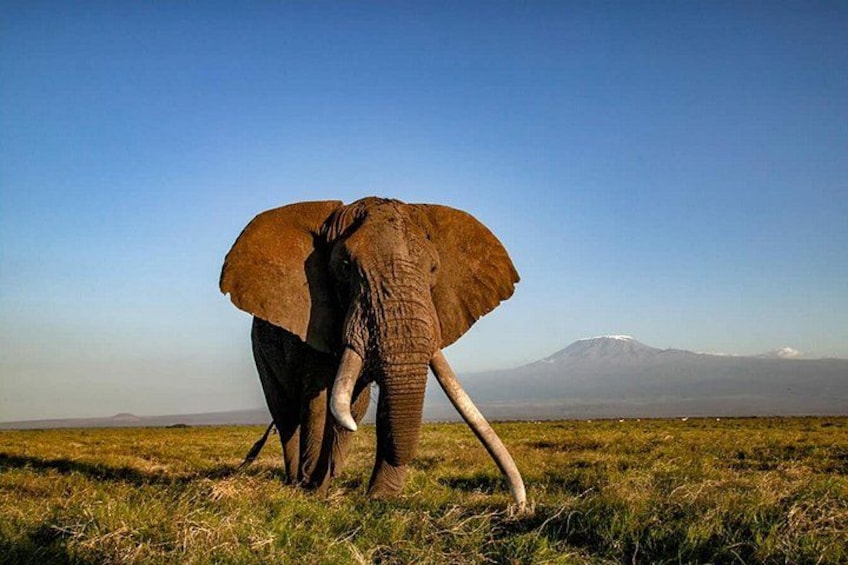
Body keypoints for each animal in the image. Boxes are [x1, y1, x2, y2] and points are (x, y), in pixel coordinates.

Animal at [220, 197, 525, 509]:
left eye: (433, 269)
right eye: (344, 268)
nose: (519, 506)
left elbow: (380, 408)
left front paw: (379, 498)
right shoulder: (314, 323)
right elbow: (318, 404)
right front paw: (313, 493)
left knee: (353, 407)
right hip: (260, 350)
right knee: (286, 414)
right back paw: (296, 480)